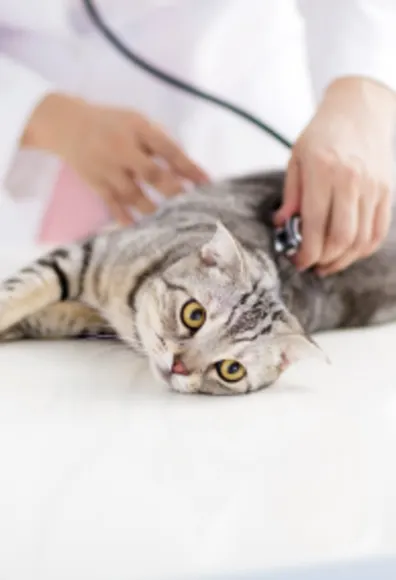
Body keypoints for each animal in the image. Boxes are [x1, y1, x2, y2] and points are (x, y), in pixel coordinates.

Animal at [0, 168, 396, 394]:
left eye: (231, 370)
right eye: (194, 315)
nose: (179, 367)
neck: (125, 311)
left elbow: (46, 316)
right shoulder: (88, 252)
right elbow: (22, 291)